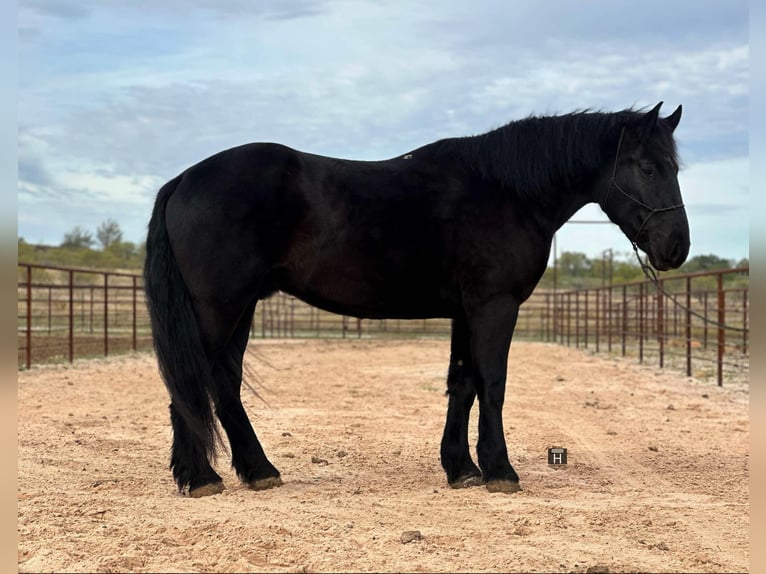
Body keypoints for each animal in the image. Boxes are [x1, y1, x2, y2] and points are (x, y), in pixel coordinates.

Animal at [144, 103, 688, 500]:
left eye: (675, 166)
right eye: (647, 167)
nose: (676, 248)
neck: (507, 191)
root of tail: (184, 179)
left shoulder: (467, 311)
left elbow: (462, 384)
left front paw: (461, 468)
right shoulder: (494, 306)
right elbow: (492, 383)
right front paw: (500, 471)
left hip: (240, 308)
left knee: (222, 384)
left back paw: (255, 471)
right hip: (218, 308)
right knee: (191, 384)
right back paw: (201, 478)